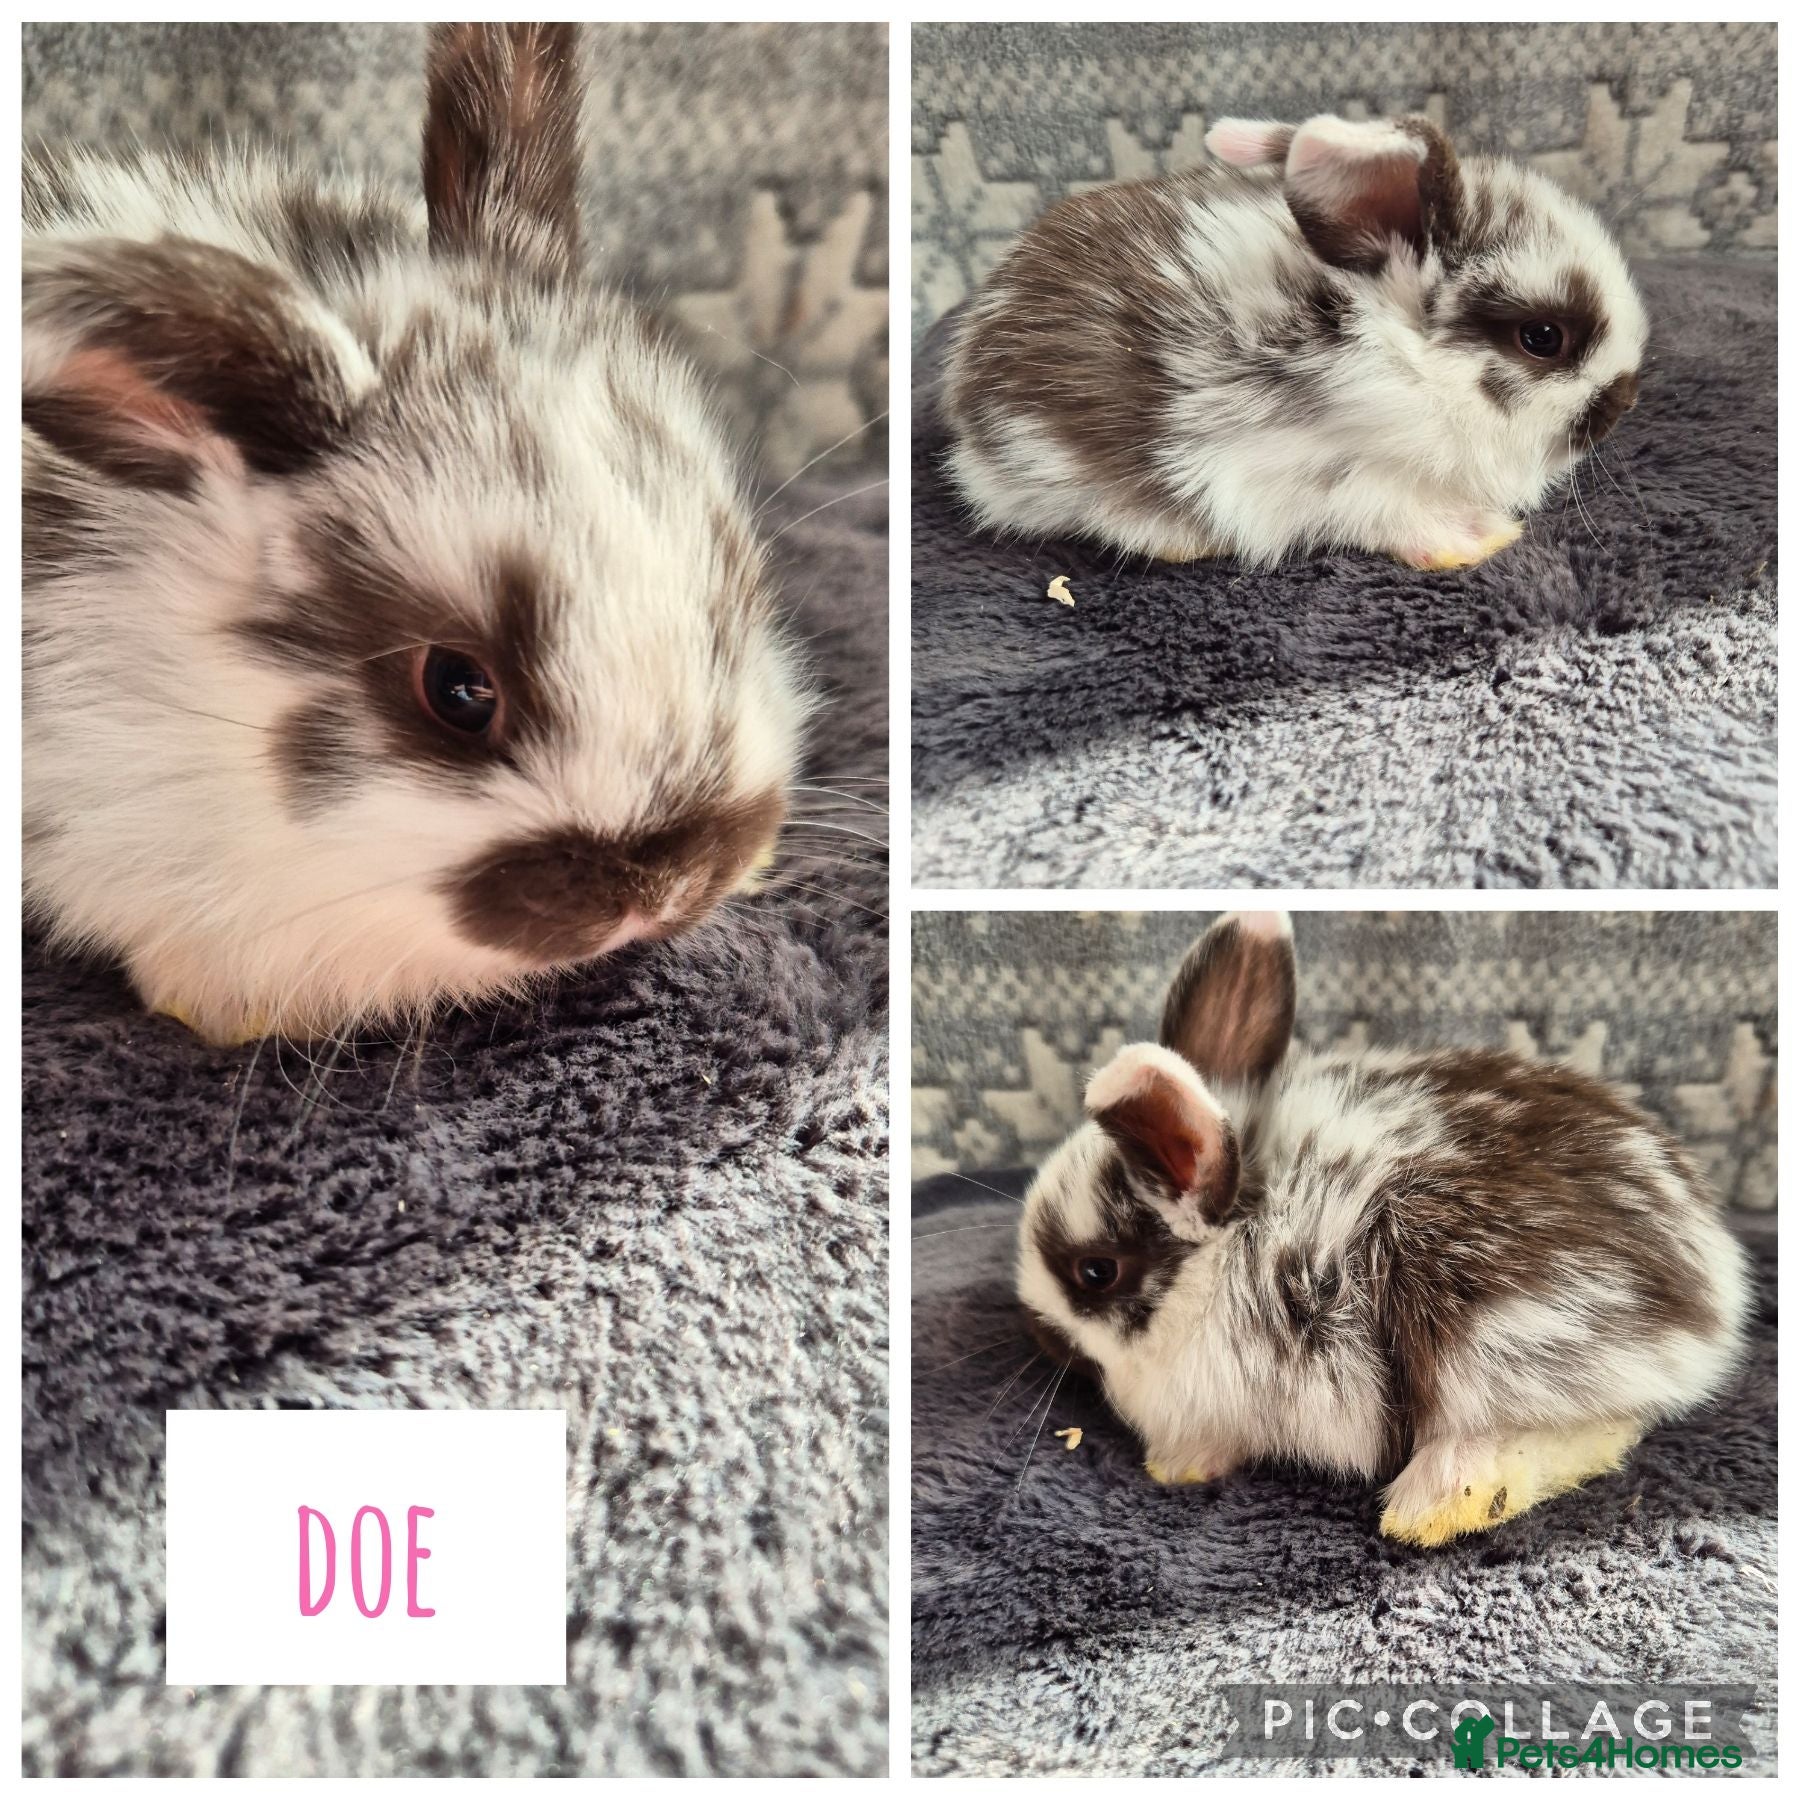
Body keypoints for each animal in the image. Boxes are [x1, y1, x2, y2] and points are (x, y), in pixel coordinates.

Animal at [943, 113, 1648, 570]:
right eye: (1543, 337)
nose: (1624, 401)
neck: (1397, 363)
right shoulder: (1341, 478)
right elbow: (1396, 516)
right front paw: (1481, 539)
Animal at [1016, 912, 1750, 1545]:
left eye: (1095, 1271)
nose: (1041, 1336)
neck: (1226, 1256)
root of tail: (1711, 1287)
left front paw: (1178, 1463)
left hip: (1477, 1334)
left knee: (1596, 1424)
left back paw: (1437, 1499)